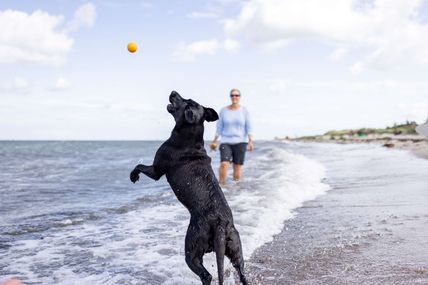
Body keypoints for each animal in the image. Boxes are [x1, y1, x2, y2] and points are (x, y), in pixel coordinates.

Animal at [131, 91, 247, 284]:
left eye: (186, 101)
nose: (173, 92)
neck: (190, 137)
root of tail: (220, 223)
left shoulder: (156, 170)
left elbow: (139, 165)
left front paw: (133, 176)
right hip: (235, 247)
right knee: (242, 272)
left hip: (192, 248)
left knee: (206, 275)